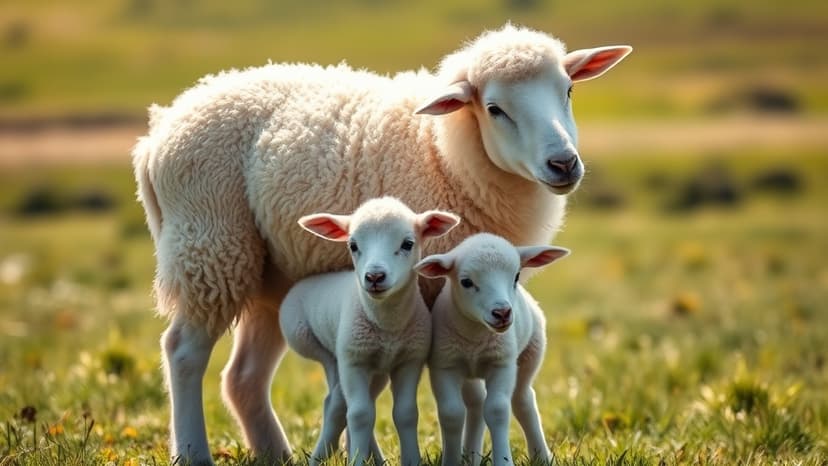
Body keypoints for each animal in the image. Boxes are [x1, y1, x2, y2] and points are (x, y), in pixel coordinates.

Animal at [279, 197, 459, 466]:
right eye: (353, 245)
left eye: (407, 244)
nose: (374, 276)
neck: (387, 325)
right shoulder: (353, 361)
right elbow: (360, 414)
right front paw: (356, 459)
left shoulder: (409, 360)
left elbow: (405, 413)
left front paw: (410, 459)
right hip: (316, 345)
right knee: (337, 403)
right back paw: (321, 455)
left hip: (375, 369)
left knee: (353, 402)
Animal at [414, 233, 569, 466]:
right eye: (466, 282)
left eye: (516, 277)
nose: (502, 312)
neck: (475, 337)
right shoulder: (445, 365)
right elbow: (451, 414)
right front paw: (451, 460)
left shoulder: (502, 363)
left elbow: (497, 410)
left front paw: (504, 460)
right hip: (468, 372)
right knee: (476, 404)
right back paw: (471, 456)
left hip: (532, 352)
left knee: (523, 400)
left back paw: (541, 456)